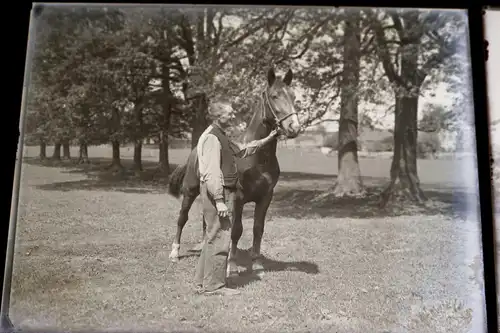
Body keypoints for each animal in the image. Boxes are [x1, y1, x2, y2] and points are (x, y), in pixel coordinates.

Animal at [167, 67, 300, 274]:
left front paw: (256, 261)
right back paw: (174, 253)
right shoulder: (238, 198)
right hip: (189, 191)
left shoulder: (265, 197)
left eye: (293, 96)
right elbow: (237, 230)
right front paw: (232, 265)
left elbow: (258, 228)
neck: (258, 159)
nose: (294, 127)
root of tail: (194, 152)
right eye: (274, 96)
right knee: (182, 218)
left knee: (207, 221)